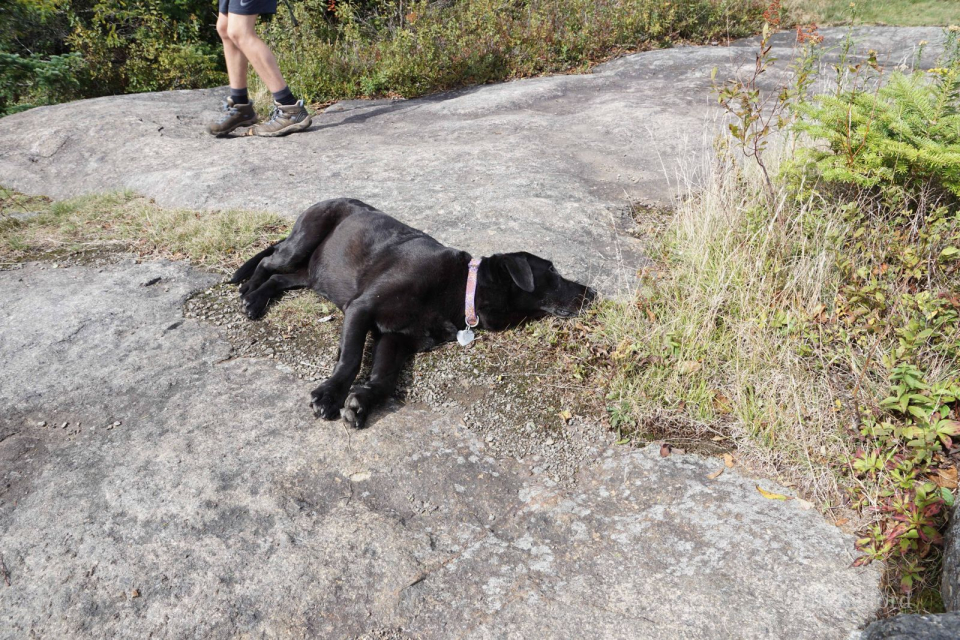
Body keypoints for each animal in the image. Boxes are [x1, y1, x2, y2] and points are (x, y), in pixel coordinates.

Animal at [232, 198, 592, 428]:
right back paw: (250, 292)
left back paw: (258, 295)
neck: (462, 287)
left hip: (312, 273)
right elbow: (350, 360)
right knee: (269, 261)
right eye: (552, 272)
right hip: (303, 243)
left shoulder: (397, 339)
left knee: (279, 277)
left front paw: (362, 401)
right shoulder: (361, 309)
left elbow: (385, 378)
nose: (593, 293)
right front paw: (330, 395)